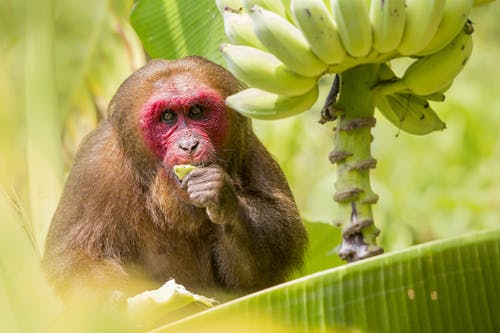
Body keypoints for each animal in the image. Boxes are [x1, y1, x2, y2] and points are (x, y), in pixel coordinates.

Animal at [42, 55, 308, 302]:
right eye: (168, 116)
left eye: (197, 111)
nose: (189, 145)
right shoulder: (95, 165)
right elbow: (75, 254)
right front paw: (106, 298)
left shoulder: (249, 148)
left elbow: (263, 265)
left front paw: (222, 196)